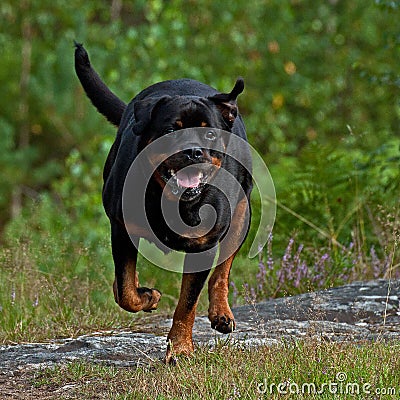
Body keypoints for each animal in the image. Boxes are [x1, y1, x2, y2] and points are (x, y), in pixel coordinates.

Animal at [73, 43, 252, 362]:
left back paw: (221, 313)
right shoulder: (121, 228)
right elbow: (125, 289)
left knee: (224, 268)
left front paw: (179, 348)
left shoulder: (203, 246)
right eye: (171, 130)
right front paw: (147, 297)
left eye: (209, 132)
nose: (193, 151)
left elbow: (187, 303)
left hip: (242, 214)